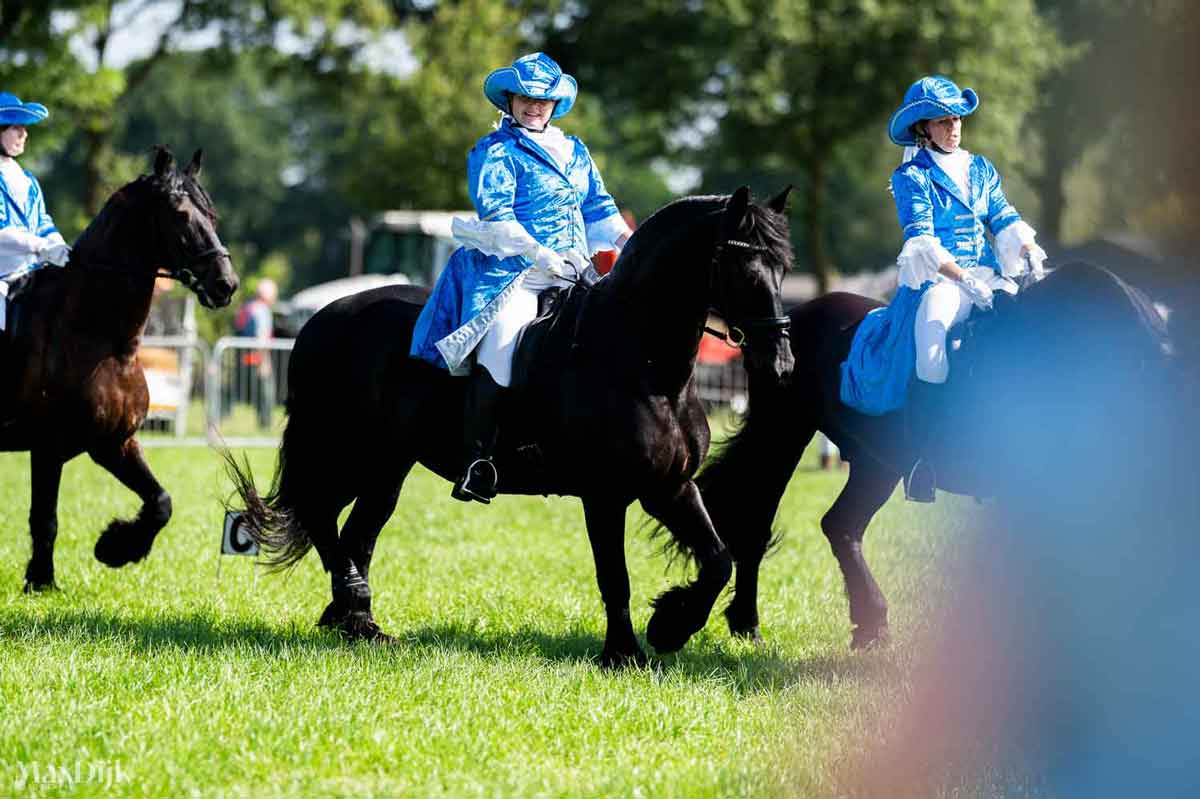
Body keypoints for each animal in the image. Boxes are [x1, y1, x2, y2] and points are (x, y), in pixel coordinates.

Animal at [4, 146, 238, 587]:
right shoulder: (48, 446)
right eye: (180, 215)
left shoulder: (115, 442)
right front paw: (41, 582)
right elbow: (44, 519)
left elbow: (161, 501)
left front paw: (115, 547)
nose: (226, 284)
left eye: (212, 215)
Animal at [226, 187, 796, 667]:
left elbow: (719, 560)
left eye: (783, 267)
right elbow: (615, 577)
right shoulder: (606, 495)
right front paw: (624, 653)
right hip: (351, 451)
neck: (645, 368)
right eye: (744, 266)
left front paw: (671, 627)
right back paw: (350, 603)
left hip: (388, 465)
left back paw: (360, 624)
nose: (781, 364)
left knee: (357, 532)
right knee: (322, 512)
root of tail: (324, 318)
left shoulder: (669, 487)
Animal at [681, 261, 1176, 647]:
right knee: (757, 524)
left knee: (840, 526)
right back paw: (752, 623)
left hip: (876, 462)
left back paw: (869, 625)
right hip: (782, 435)